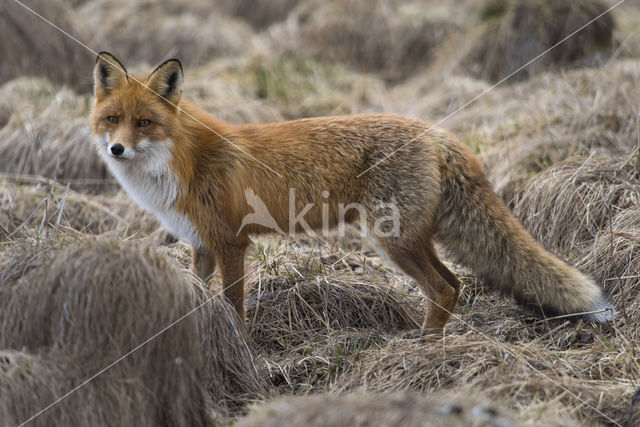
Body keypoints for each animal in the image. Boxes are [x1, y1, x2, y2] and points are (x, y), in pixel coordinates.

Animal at [90, 51, 616, 334]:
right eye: (112, 119)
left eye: (145, 123)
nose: (116, 149)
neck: (180, 164)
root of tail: (436, 132)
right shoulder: (201, 245)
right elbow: (197, 296)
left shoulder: (231, 243)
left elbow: (233, 305)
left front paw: (240, 349)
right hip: (410, 240)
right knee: (456, 283)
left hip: (394, 242)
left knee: (445, 287)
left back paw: (424, 354)